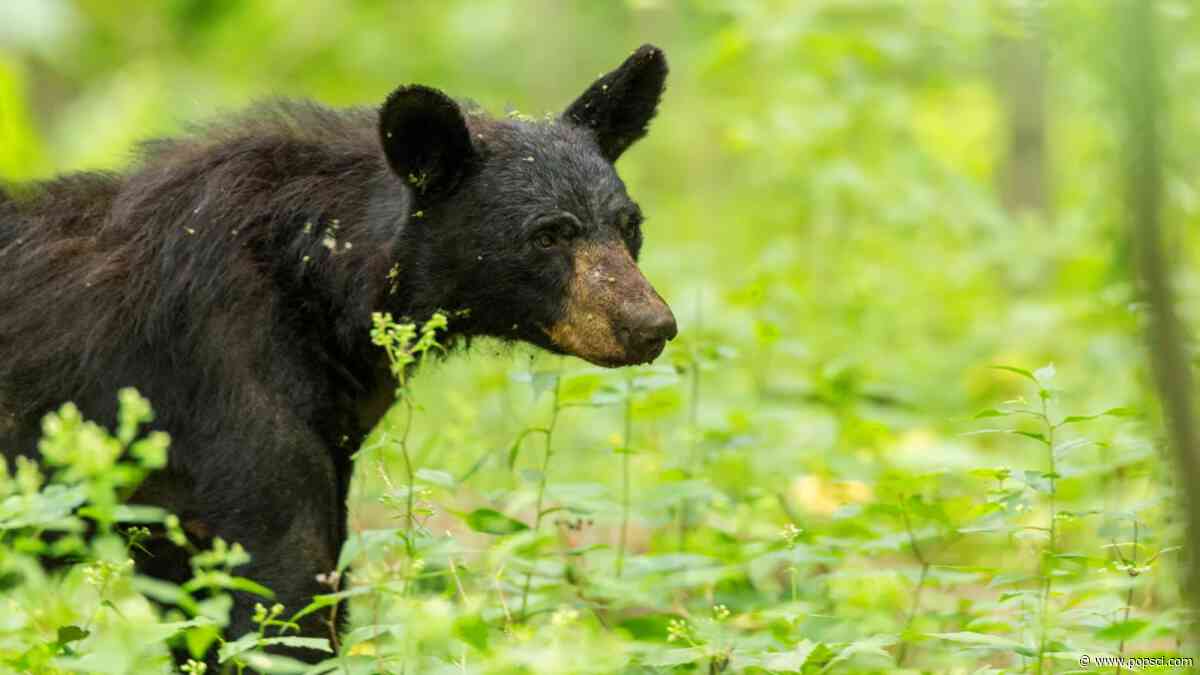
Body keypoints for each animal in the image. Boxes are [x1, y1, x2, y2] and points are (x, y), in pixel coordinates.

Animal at [0, 44, 675, 664]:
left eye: (629, 224)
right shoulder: (222, 384)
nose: (651, 325)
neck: (318, 283)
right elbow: (282, 587)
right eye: (548, 236)